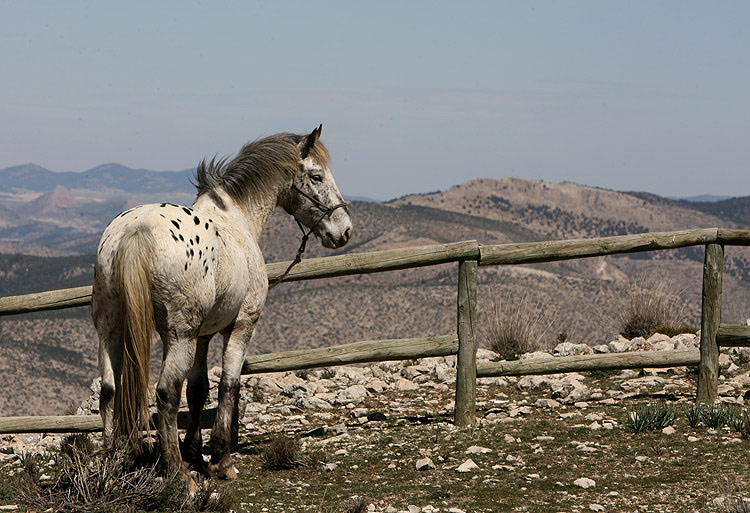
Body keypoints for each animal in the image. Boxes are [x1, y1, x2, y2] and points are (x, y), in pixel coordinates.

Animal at [90, 126, 352, 478]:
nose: (344, 230)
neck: (236, 219)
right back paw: (176, 470)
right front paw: (220, 459)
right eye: (317, 176)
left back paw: (112, 459)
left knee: (109, 391)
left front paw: (195, 452)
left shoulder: (203, 335)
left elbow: (198, 389)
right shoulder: (240, 327)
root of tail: (137, 230)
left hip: (111, 331)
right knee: (166, 393)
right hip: (179, 337)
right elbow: (229, 384)